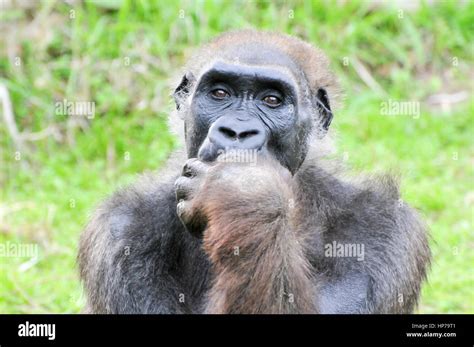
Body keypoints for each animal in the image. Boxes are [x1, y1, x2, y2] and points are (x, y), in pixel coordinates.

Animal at [79, 30, 432, 316]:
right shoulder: (120, 232)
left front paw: (242, 190)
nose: (237, 131)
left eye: (271, 100)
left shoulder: (382, 226)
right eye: (220, 94)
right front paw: (245, 190)